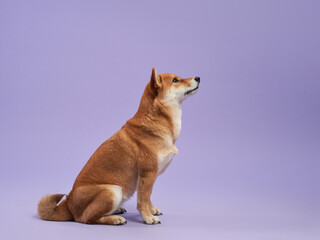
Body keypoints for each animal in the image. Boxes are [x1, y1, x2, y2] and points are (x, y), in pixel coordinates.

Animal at [38, 69, 200, 225]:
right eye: (175, 80)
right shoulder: (147, 173)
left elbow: (147, 197)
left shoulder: (149, 177)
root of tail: (68, 204)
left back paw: (116, 211)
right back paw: (114, 219)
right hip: (113, 190)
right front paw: (148, 217)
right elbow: (142, 201)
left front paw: (152, 210)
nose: (198, 77)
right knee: (87, 218)